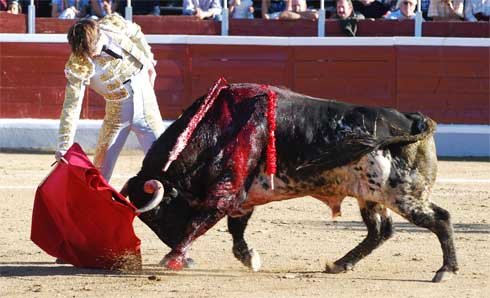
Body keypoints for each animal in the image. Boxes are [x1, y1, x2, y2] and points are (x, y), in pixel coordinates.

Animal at [121, 79, 456, 282]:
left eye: (158, 214)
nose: (184, 256)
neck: (216, 128)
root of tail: (416, 120)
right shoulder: (243, 199)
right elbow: (236, 232)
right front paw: (250, 259)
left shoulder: (226, 193)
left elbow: (200, 222)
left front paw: (173, 257)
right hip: (372, 196)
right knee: (380, 231)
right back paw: (339, 264)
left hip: (403, 194)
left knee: (439, 218)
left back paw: (446, 271)